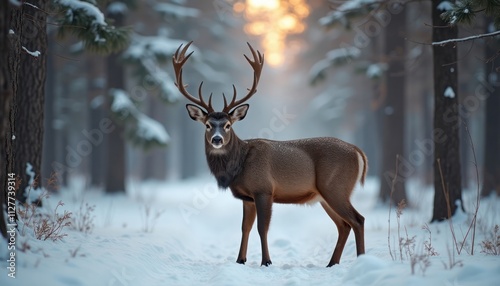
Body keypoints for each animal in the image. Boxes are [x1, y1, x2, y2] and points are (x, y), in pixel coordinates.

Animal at [173, 41, 368, 268]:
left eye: (228, 125)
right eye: (207, 125)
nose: (217, 139)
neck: (239, 166)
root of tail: (357, 151)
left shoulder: (263, 189)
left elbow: (261, 228)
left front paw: (266, 261)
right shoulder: (247, 197)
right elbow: (244, 227)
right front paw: (240, 260)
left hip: (335, 187)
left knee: (358, 220)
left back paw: (361, 261)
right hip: (324, 195)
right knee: (343, 225)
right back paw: (332, 263)